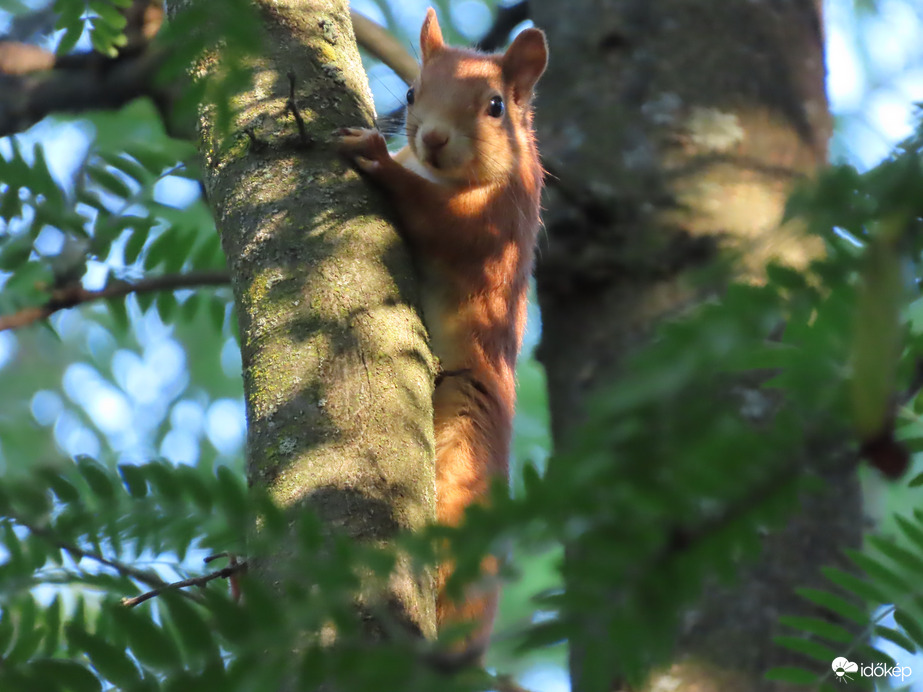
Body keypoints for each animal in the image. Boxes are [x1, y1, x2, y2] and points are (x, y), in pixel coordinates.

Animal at [336, 8, 544, 652]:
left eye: (496, 105)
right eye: (410, 91)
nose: (431, 139)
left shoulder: (493, 231)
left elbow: (435, 219)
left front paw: (373, 155)